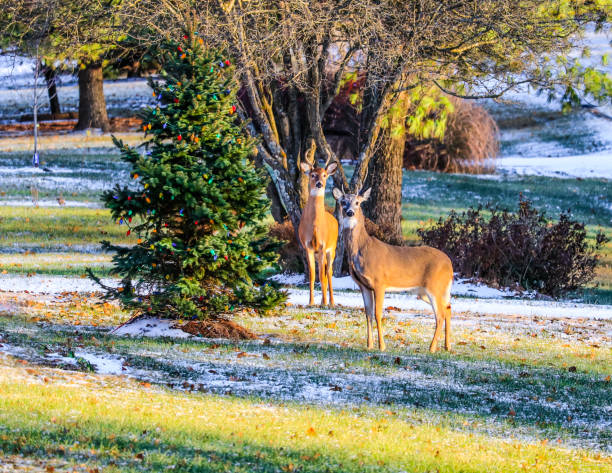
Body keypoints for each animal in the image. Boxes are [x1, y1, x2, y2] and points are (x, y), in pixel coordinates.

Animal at [300, 160, 342, 304]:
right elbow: (312, 274)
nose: (319, 184)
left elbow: (322, 275)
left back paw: (332, 302)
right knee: (324, 271)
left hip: (332, 248)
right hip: (319, 253)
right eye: (312, 175)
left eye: (324, 175)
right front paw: (311, 302)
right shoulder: (308, 247)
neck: (315, 226)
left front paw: (323, 302)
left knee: (329, 272)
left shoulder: (323, 246)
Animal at [330, 186, 454, 352]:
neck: (362, 248)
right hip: (425, 291)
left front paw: (382, 346)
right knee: (448, 307)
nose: (350, 212)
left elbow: (377, 313)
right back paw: (447, 346)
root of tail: (450, 263)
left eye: (357, 202)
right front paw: (369, 345)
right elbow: (368, 313)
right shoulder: (363, 285)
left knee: (440, 314)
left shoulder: (379, 282)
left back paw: (432, 348)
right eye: (343, 202)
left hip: (434, 286)